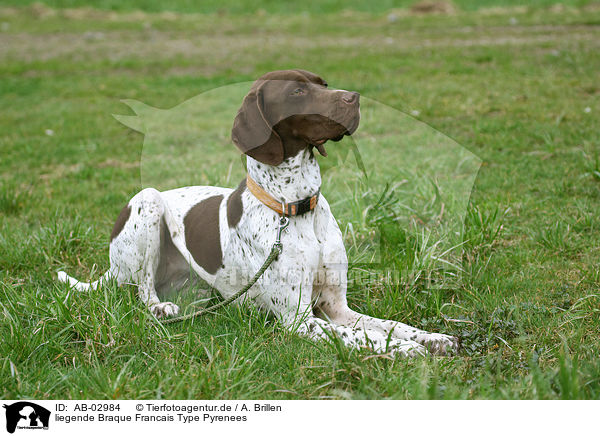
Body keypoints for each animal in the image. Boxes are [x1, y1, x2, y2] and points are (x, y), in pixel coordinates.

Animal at [57, 70, 460, 356]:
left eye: (323, 84)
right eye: (296, 93)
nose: (355, 98)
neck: (295, 208)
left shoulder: (336, 306)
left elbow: (389, 325)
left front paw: (430, 337)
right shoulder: (299, 320)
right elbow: (365, 338)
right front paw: (405, 349)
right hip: (149, 201)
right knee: (142, 290)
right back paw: (160, 308)